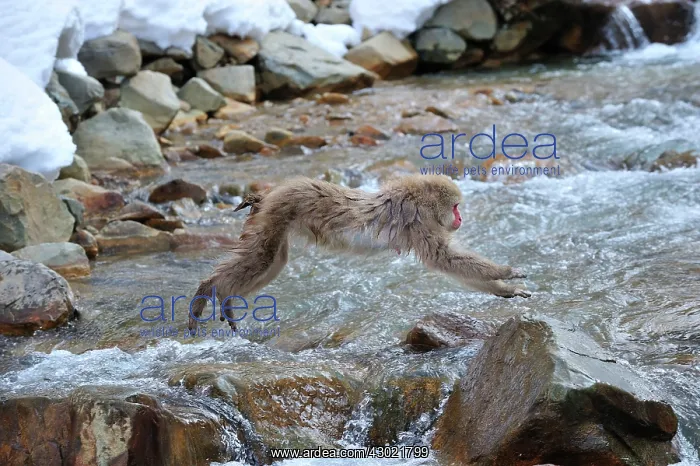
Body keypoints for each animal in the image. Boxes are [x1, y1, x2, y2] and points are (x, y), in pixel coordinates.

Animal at [188, 175, 530, 331]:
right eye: (456, 206)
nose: (460, 219)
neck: (420, 199)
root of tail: (270, 195)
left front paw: (506, 290)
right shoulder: (419, 222)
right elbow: (444, 258)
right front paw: (506, 273)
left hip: (275, 220)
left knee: (274, 262)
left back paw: (225, 296)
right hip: (275, 215)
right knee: (263, 258)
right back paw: (211, 289)